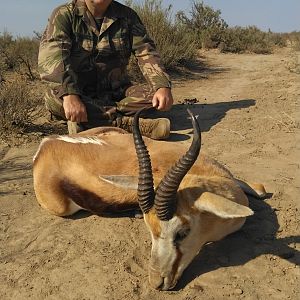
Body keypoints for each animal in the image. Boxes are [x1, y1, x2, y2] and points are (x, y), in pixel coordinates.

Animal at [34, 109, 266, 290]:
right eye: (150, 231)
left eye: (182, 233)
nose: (157, 282)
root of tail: (46, 144)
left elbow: (260, 190)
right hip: (61, 207)